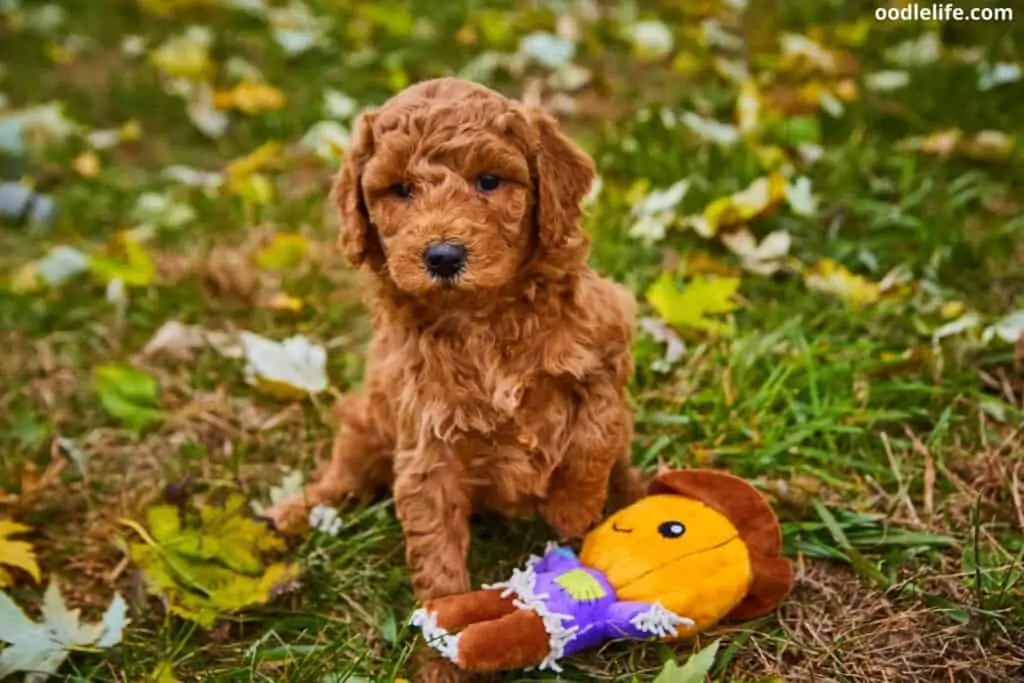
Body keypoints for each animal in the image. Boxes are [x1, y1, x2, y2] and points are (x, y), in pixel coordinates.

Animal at [268, 74, 643, 618]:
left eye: (488, 181)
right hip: (366, 422)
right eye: (401, 189)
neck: (481, 318)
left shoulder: (605, 347)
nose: (443, 256)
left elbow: (594, 436)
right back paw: (287, 514)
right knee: (339, 478)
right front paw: (446, 627)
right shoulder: (427, 442)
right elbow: (434, 540)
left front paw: (573, 509)